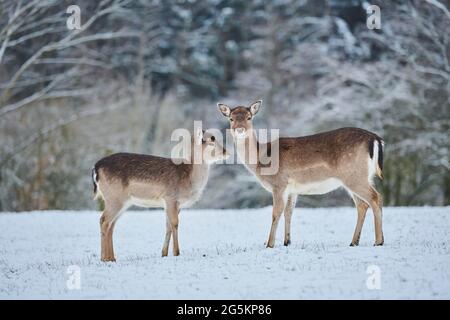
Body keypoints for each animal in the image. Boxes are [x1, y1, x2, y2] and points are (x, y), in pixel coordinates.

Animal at [92, 129, 229, 262]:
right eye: (211, 140)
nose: (226, 151)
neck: (188, 179)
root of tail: (96, 167)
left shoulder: (174, 204)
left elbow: (168, 226)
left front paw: (164, 254)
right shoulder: (170, 198)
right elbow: (175, 223)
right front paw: (176, 252)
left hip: (122, 202)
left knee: (111, 225)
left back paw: (112, 258)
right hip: (114, 198)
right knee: (104, 221)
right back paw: (104, 258)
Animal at [218, 100, 384, 248]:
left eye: (249, 117)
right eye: (231, 118)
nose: (239, 130)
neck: (261, 160)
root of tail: (375, 139)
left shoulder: (279, 183)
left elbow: (276, 212)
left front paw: (269, 244)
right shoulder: (292, 190)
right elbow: (289, 212)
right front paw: (287, 242)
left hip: (354, 175)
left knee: (375, 198)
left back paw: (378, 241)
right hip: (359, 177)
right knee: (362, 205)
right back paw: (354, 241)